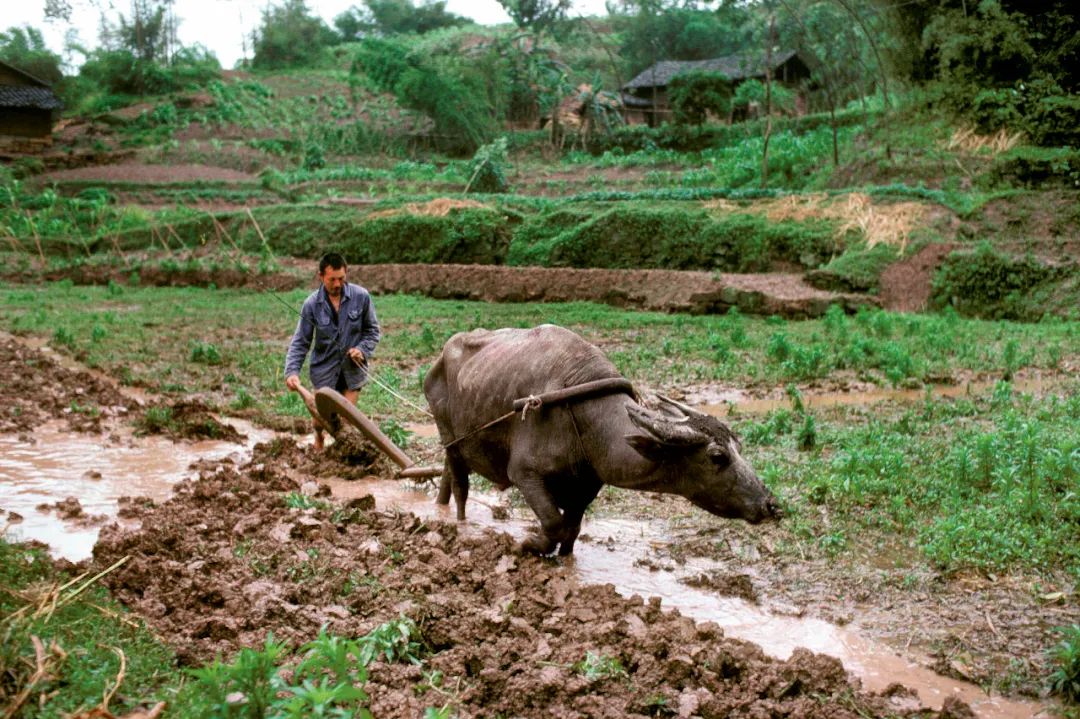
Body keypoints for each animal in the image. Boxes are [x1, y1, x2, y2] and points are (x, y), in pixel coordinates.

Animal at [423, 323, 786, 552]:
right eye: (717, 457)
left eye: (739, 448)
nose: (771, 505)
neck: (585, 418)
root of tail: (438, 361)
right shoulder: (525, 474)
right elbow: (553, 523)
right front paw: (529, 544)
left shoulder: (586, 486)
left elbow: (571, 531)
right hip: (449, 436)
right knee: (460, 487)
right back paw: (458, 524)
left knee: (446, 478)